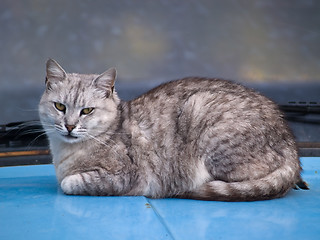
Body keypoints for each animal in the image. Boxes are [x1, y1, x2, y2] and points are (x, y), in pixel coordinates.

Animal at [38, 59, 304, 202]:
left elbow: (69, 183)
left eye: (87, 111)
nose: (69, 125)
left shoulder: (124, 176)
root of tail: (291, 146)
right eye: (60, 106)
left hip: (202, 114)